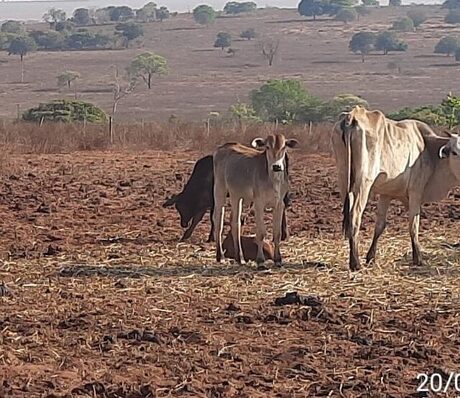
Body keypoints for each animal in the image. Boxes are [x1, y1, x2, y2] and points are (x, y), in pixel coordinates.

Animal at [163, 154, 292, 241]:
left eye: (183, 207)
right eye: (178, 208)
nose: (183, 224)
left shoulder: (213, 200)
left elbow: (212, 219)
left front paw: (211, 237)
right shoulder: (205, 202)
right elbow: (197, 219)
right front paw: (186, 235)